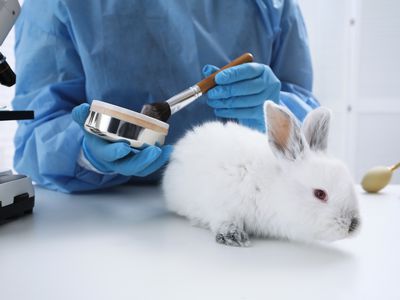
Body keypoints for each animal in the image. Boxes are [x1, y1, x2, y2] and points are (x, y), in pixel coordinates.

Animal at [161, 101, 360, 246]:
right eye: (320, 194)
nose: (353, 225)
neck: (271, 188)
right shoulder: (222, 205)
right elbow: (224, 220)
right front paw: (234, 236)